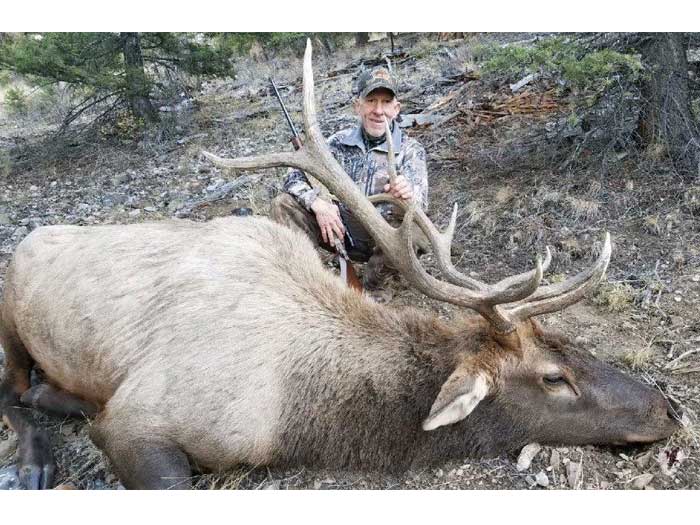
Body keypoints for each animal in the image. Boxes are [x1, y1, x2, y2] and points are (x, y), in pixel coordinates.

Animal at [0, 40, 681, 490]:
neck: (300, 411)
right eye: (552, 378)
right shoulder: (137, 422)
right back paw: (36, 458)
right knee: (14, 390)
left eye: (573, 343)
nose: (668, 408)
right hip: (9, 313)